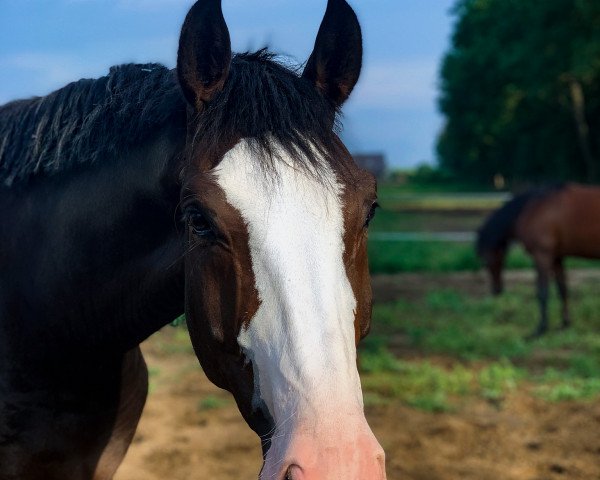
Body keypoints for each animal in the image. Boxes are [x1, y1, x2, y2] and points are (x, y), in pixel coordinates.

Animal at [478, 184, 600, 338]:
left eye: (485, 262)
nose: (496, 290)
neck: (533, 209)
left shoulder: (542, 256)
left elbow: (542, 292)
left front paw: (540, 329)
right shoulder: (556, 258)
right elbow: (562, 289)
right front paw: (565, 324)